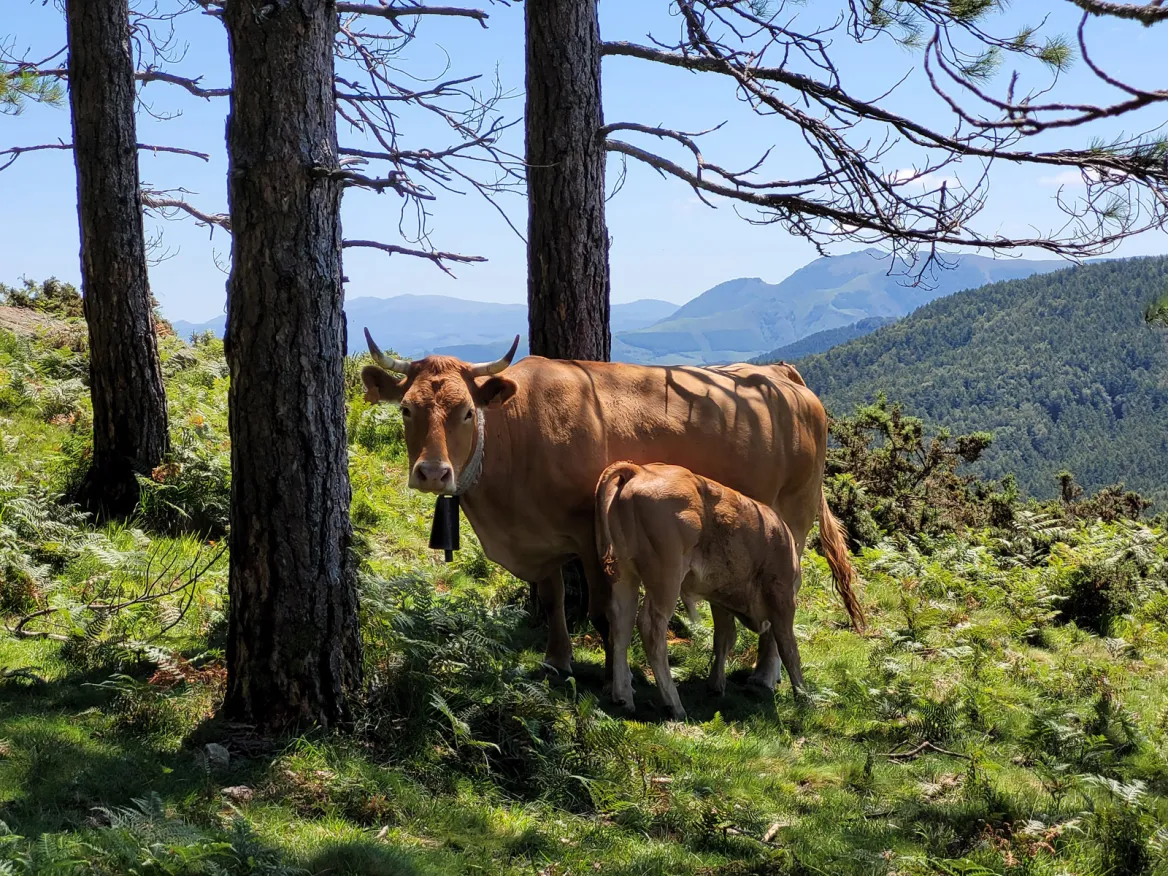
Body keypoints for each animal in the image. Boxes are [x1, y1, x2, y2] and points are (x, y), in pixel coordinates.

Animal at [359, 330, 864, 691]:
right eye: (406, 409)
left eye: (466, 411)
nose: (432, 472)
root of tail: (779, 373)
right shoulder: (543, 540)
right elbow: (553, 599)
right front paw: (557, 661)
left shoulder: (590, 536)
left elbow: (604, 613)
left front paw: (610, 678)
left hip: (794, 512)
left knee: (786, 589)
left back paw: (766, 674)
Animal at [595, 461, 804, 721]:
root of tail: (639, 471)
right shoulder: (782, 596)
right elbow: (789, 648)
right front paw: (805, 698)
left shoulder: (721, 597)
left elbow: (725, 638)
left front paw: (716, 685)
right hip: (667, 577)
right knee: (650, 627)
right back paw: (674, 705)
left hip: (624, 575)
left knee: (620, 625)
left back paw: (623, 697)